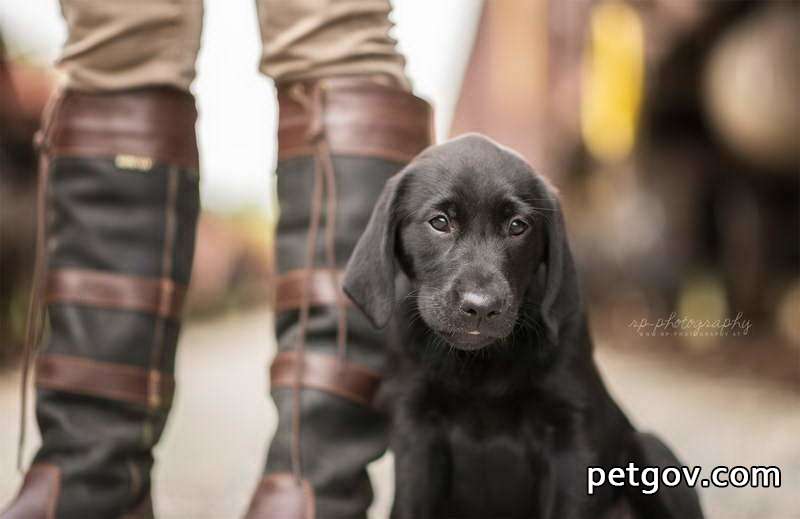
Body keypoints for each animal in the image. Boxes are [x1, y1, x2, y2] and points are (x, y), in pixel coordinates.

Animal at [340, 135, 704, 519]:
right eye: (439, 222)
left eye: (517, 226)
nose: (481, 307)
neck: (481, 365)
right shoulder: (416, 432)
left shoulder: (571, 437)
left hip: (656, 455)